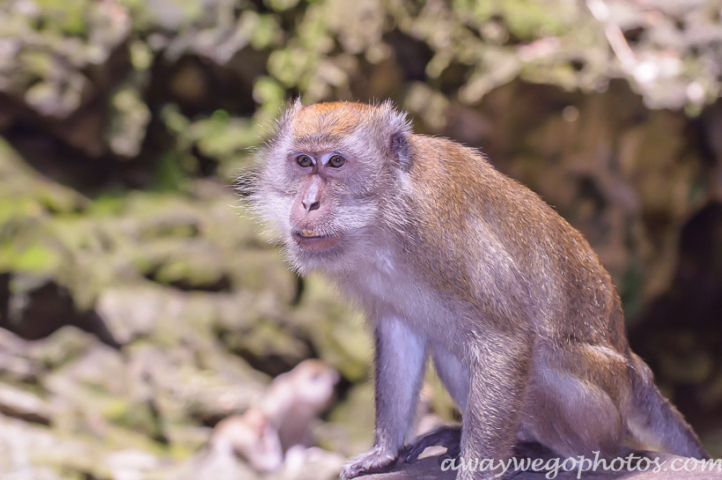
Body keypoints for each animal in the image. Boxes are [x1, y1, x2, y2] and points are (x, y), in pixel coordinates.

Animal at [208, 358, 338, 470]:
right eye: (331, 387)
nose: (332, 398)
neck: (300, 401)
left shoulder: (305, 415)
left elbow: (297, 436)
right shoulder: (282, 394)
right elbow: (267, 416)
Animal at [246, 99, 704, 478]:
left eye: (336, 162)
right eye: (303, 161)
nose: (308, 203)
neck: (384, 219)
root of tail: (633, 366)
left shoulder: (445, 238)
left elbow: (508, 340)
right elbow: (401, 338)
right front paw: (384, 452)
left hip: (602, 409)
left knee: (544, 366)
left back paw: (555, 454)